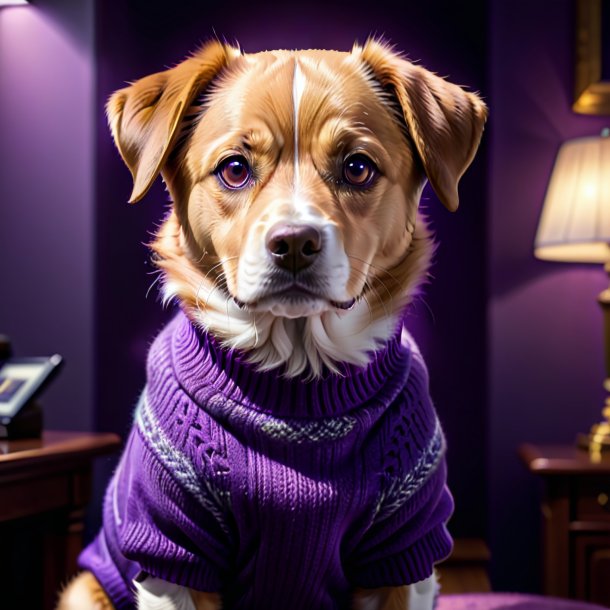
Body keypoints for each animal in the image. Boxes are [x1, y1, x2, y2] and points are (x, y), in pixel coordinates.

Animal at [57, 38, 484, 608]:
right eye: (235, 168)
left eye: (358, 167)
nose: (295, 242)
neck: (296, 376)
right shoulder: (172, 548)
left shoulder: (405, 548)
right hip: (84, 590)